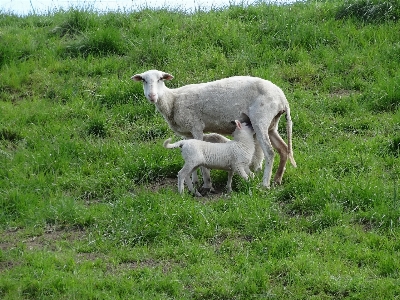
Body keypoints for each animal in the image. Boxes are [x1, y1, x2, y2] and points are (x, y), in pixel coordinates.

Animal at [131, 69, 296, 190]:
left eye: (160, 79)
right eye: (144, 80)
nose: (152, 96)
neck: (173, 101)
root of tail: (283, 99)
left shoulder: (196, 126)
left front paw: (206, 184)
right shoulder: (187, 133)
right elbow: (192, 156)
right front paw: (194, 181)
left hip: (261, 119)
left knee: (270, 152)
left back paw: (265, 184)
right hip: (272, 124)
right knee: (283, 149)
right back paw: (277, 180)